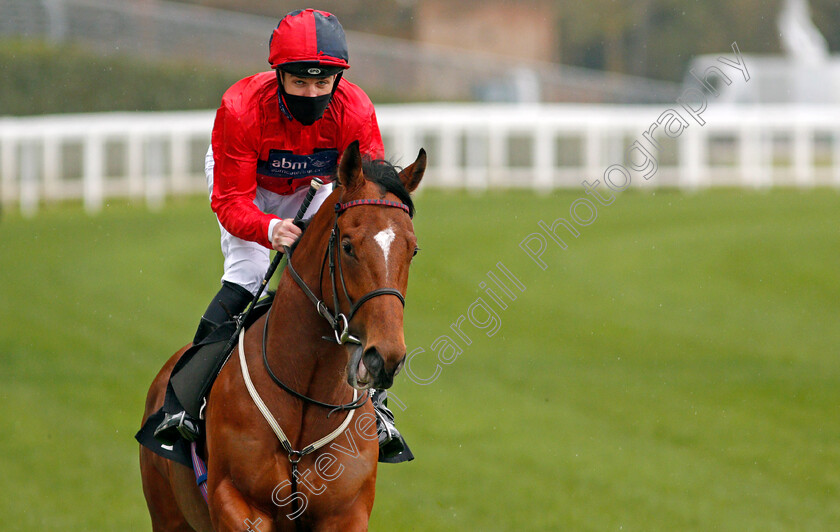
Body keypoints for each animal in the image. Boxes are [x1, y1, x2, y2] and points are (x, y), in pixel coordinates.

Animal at [141, 140, 426, 528]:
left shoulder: (347, 512)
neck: (307, 396)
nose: (385, 357)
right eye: (348, 246)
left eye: (412, 249)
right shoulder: (236, 501)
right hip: (167, 515)